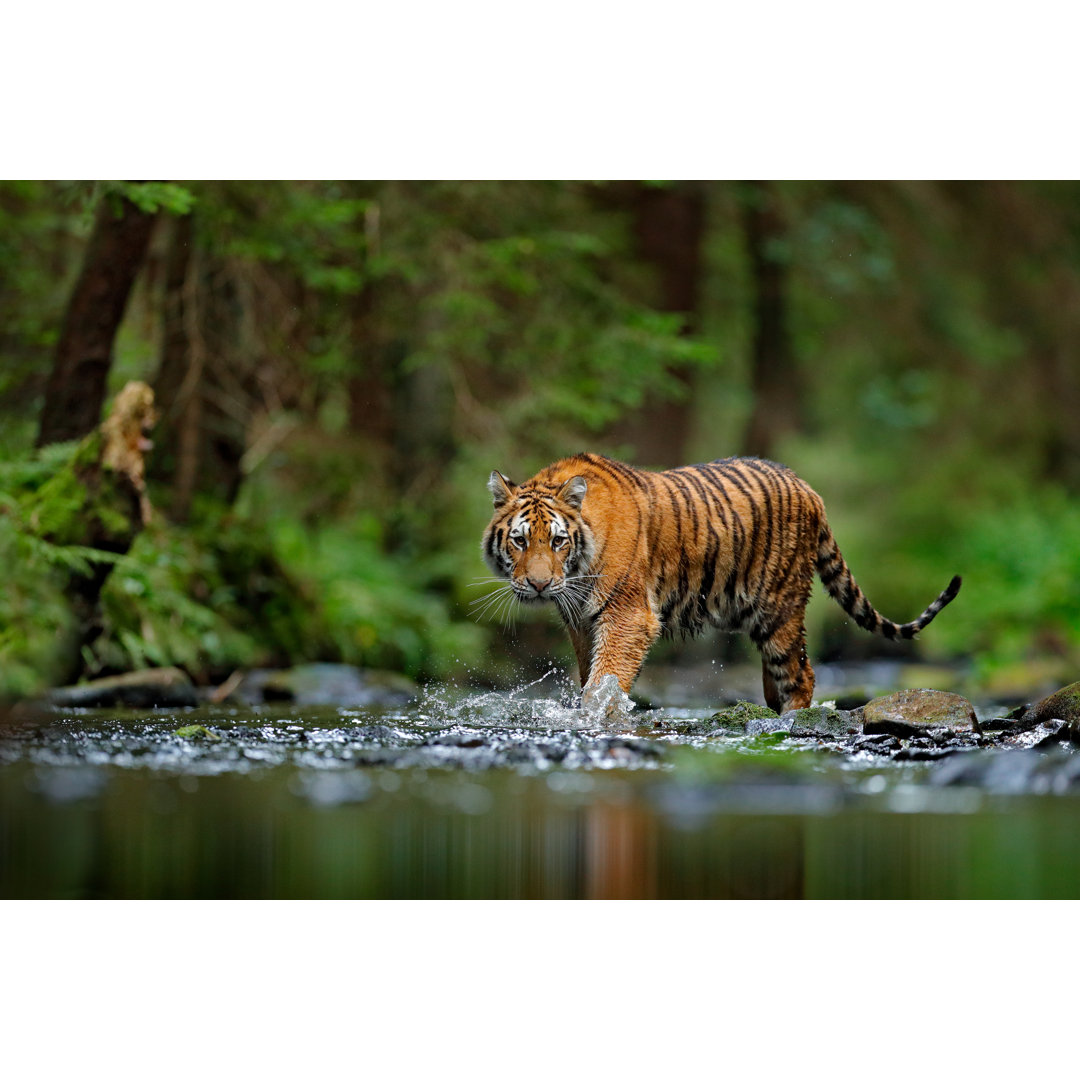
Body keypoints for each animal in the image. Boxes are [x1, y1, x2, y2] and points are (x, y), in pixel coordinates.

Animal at [481, 451, 963, 712]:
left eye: (558, 541)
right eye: (520, 541)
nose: (539, 585)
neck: (577, 570)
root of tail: (809, 489)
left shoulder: (627, 615)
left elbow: (605, 680)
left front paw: (597, 716)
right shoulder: (581, 621)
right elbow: (590, 676)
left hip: (780, 609)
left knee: (801, 674)